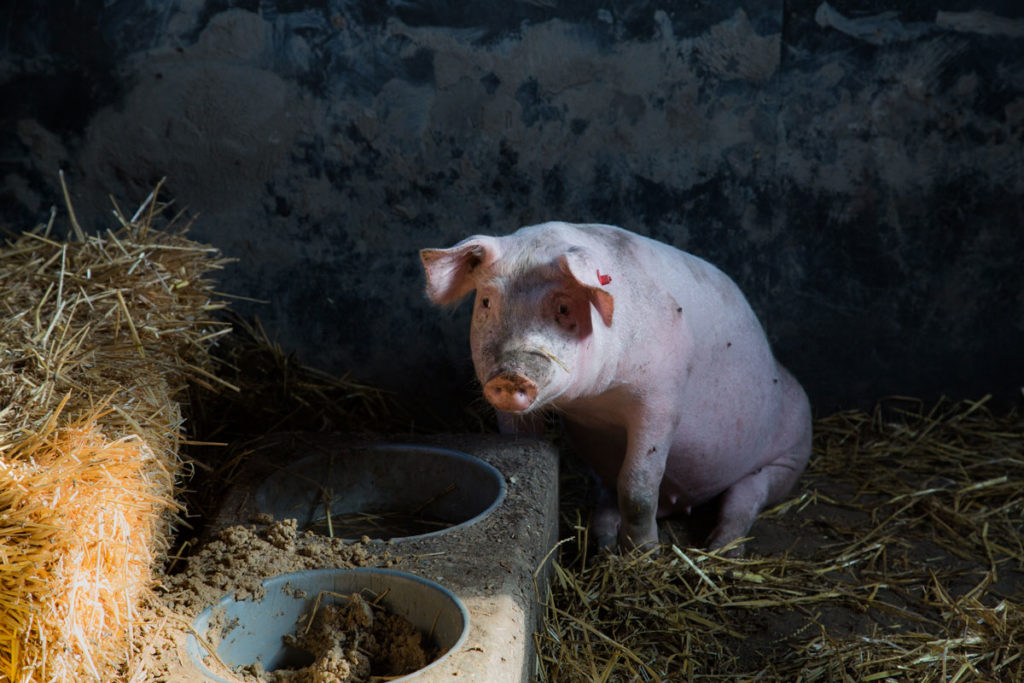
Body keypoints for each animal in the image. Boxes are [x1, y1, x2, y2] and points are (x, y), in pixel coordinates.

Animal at [415, 222, 806, 552]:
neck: (595, 400)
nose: (510, 375)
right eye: (486, 302)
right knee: (607, 497)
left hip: (788, 457)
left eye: (563, 307)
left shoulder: (662, 399)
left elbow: (638, 487)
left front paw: (645, 555)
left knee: (744, 500)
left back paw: (719, 550)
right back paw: (602, 546)